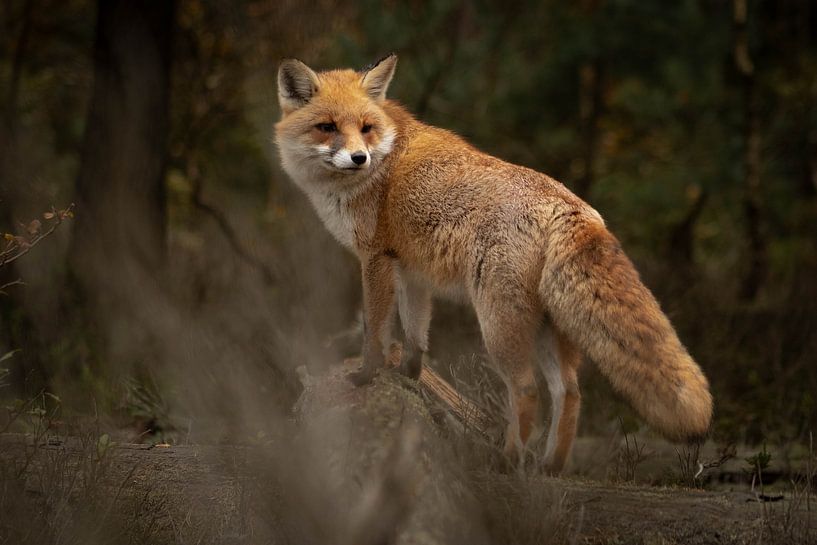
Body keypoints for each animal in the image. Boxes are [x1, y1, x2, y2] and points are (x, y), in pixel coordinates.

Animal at [272, 54, 708, 472]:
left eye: (365, 128)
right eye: (327, 127)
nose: (358, 157)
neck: (381, 163)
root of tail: (569, 205)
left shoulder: (375, 260)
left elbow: (374, 332)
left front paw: (365, 377)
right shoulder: (412, 272)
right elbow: (416, 334)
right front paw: (408, 376)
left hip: (498, 325)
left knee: (527, 390)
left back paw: (509, 461)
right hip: (548, 328)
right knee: (568, 391)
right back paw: (550, 467)